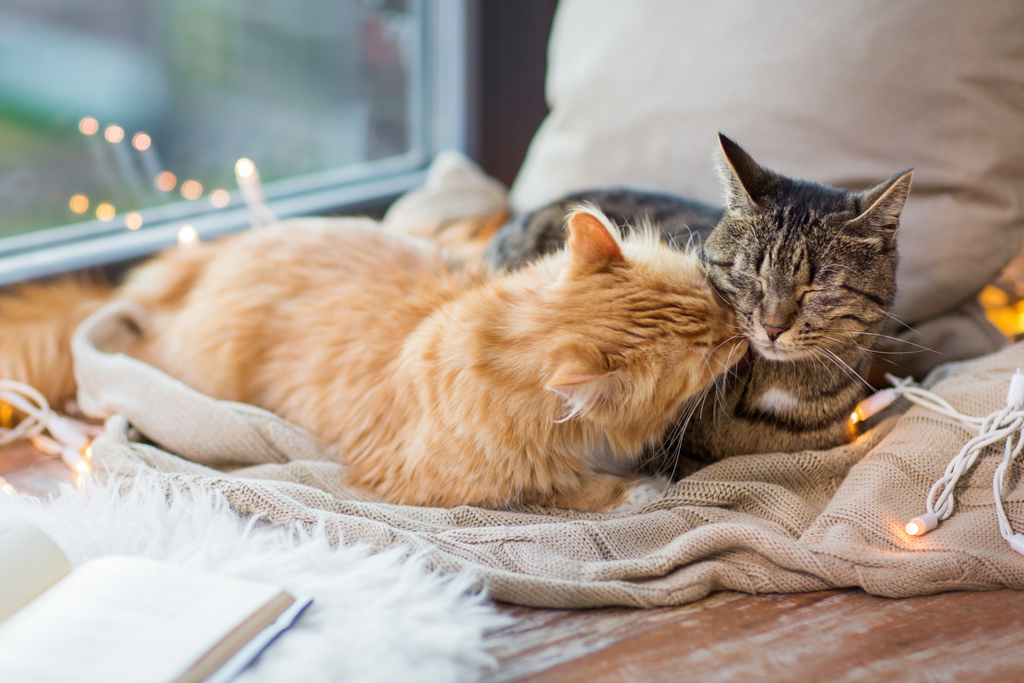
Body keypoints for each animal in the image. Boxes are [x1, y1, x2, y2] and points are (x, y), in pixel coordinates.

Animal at [0, 208, 745, 511]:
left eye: (710, 290)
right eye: (706, 350)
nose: (743, 329)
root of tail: (205, 257)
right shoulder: (442, 480)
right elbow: (564, 490)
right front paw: (640, 488)